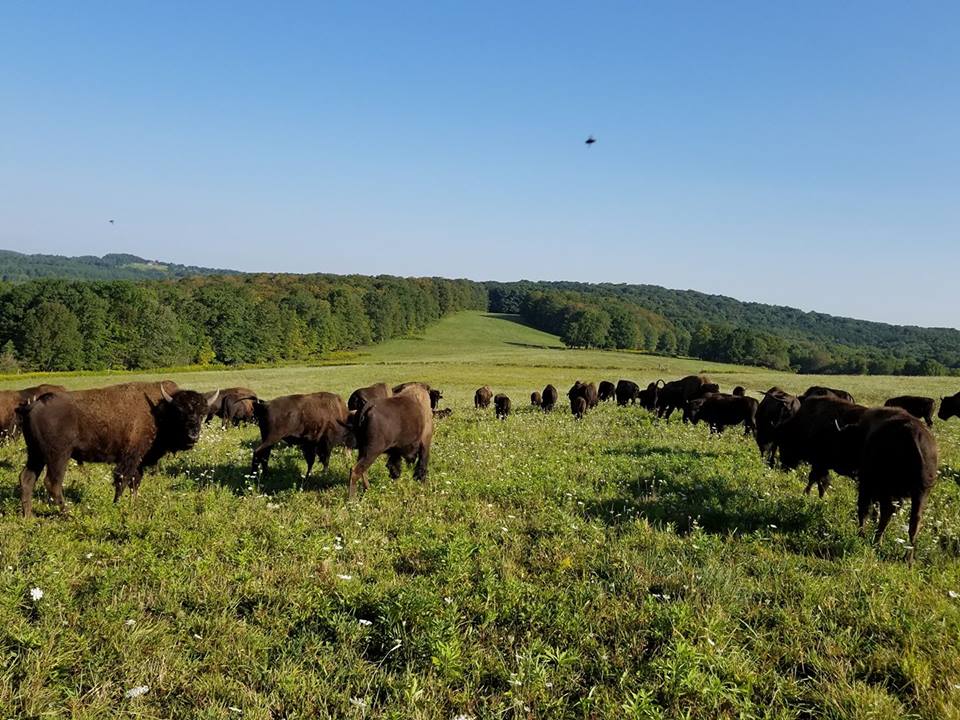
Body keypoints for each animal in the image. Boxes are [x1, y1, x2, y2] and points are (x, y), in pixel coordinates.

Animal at [17, 382, 217, 518]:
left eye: (202, 414)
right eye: (180, 412)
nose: (193, 436)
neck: (159, 410)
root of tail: (34, 405)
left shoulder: (140, 461)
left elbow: (135, 483)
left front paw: (133, 504)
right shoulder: (131, 457)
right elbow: (123, 480)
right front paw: (117, 505)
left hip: (36, 454)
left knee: (27, 478)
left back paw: (29, 516)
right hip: (58, 456)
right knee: (52, 483)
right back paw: (68, 514)